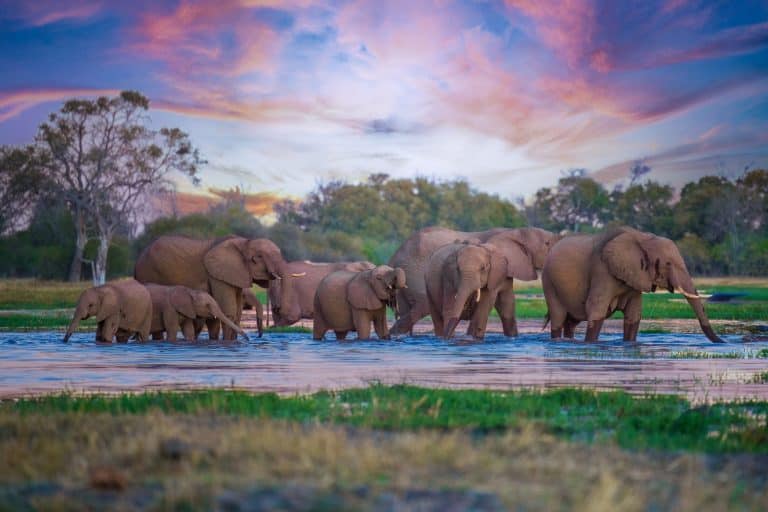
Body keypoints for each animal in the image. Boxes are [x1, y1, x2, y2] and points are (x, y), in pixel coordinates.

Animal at [135, 235, 297, 340]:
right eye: (260, 257)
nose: (259, 335)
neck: (244, 242)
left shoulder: (235, 274)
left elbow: (237, 312)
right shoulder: (217, 275)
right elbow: (229, 311)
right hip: (147, 272)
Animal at [389, 227, 559, 336]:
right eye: (547, 244)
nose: (544, 326)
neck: (515, 231)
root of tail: (395, 256)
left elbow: (507, 304)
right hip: (414, 273)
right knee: (421, 307)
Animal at [542, 227, 723, 343]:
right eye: (668, 264)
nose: (722, 342)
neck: (642, 237)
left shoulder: (636, 276)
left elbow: (634, 313)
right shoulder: (602, 270)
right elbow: (596, 308)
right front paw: (590, 344)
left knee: (571, 322)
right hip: (549, 282)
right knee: (558, 316)